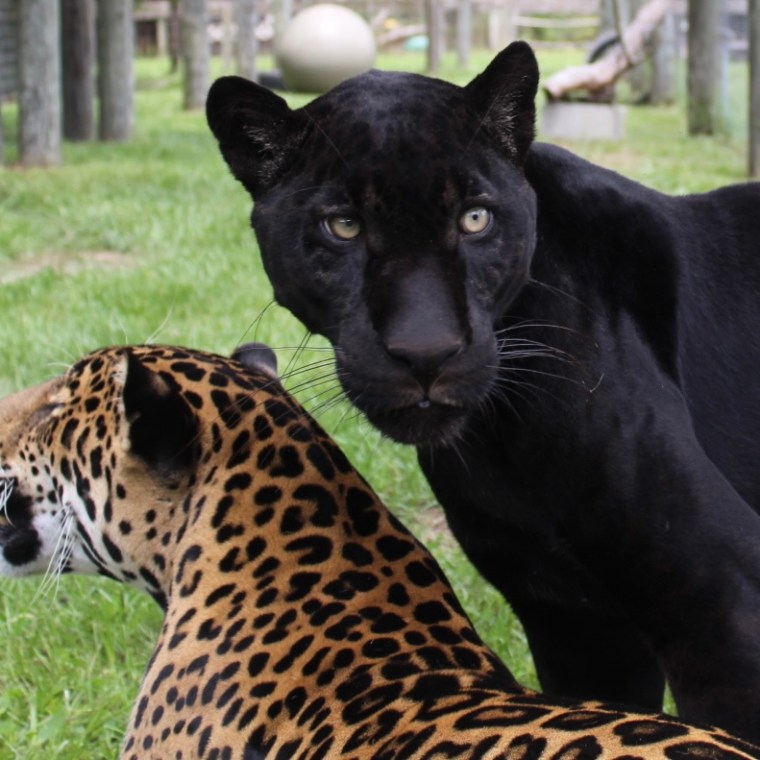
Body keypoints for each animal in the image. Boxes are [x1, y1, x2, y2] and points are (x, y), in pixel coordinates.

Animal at [206, 40, 760, 738]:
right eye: (345, 226)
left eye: (475, 219)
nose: (427, 351)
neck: (500, 439)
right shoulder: (576, 625)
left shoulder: (721, 602)